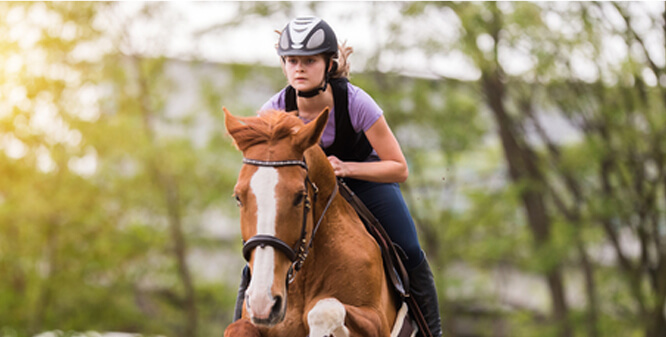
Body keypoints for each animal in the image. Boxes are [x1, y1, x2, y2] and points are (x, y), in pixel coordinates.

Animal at [223, 108, 400, 336]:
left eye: (299, 197)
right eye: (238, 197)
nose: (264, 302)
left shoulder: (377, 322)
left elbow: (323, 309)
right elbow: (239, 327)